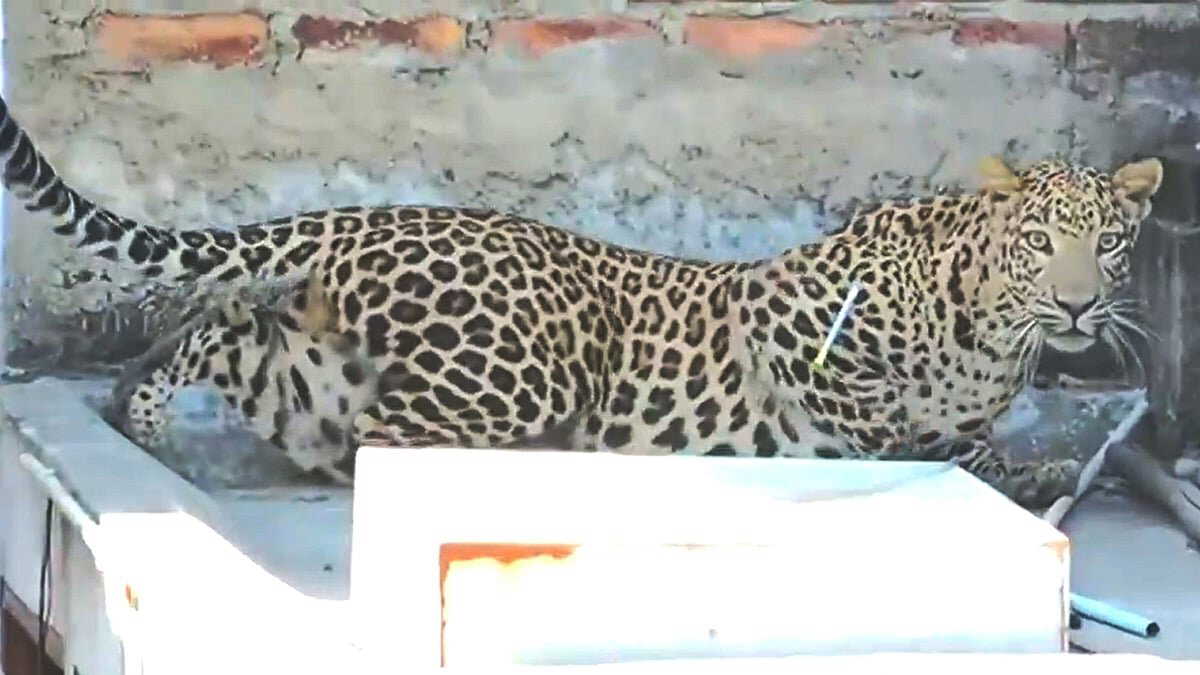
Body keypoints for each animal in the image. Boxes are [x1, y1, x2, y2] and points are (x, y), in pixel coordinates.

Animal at [0, 93, 1162, 507]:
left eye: (1106, 243)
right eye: (1039, 242)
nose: (1075, 309)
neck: (993, 330)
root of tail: (365, 216)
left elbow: (971, 439)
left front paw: (1036, 460)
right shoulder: (797, 331)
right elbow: (902, 428)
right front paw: (1016, 465)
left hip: (311, 372)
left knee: (233, 332)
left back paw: (139, 411)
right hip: (523, 370)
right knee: (381, 438)